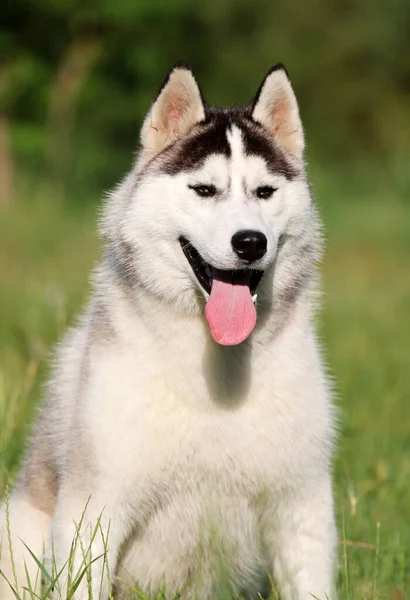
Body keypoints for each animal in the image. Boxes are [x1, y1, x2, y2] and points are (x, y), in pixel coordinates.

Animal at [0, 63, 338, 596]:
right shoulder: (95, 507)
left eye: (265, 192)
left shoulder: (300, 504)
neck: (214, 377)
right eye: (204, 190)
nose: (250, 242)